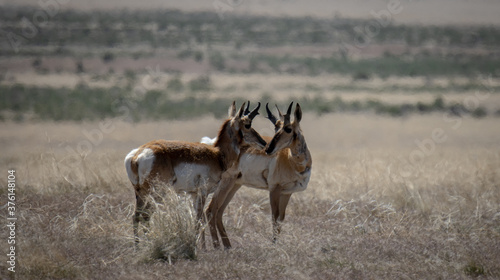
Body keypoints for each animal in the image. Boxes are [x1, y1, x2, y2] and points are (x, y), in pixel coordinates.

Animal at [124, 101, 266, 246]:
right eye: (247, 124)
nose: (263, 142)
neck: (217, 154)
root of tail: (137, 155)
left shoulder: (193, 194)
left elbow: (197, 219)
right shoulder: (202, 192)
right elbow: (199, 220)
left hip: (141, 194)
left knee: (136, 216)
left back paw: (138, 247)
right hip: (156, 193)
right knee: (146, 216)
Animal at [205, 101, 310, 248]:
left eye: (288, 128)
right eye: (276, 127)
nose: (268, 149)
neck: (292, 161)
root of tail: (215, 145)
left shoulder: (287, 193)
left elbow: (281, 219)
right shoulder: (274, 190)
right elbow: (274, 217)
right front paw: (273, 245)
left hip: (234, 185)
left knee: (219, 211)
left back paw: (228, 247)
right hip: (225, 184)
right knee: (210, 210)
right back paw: (217, 247)